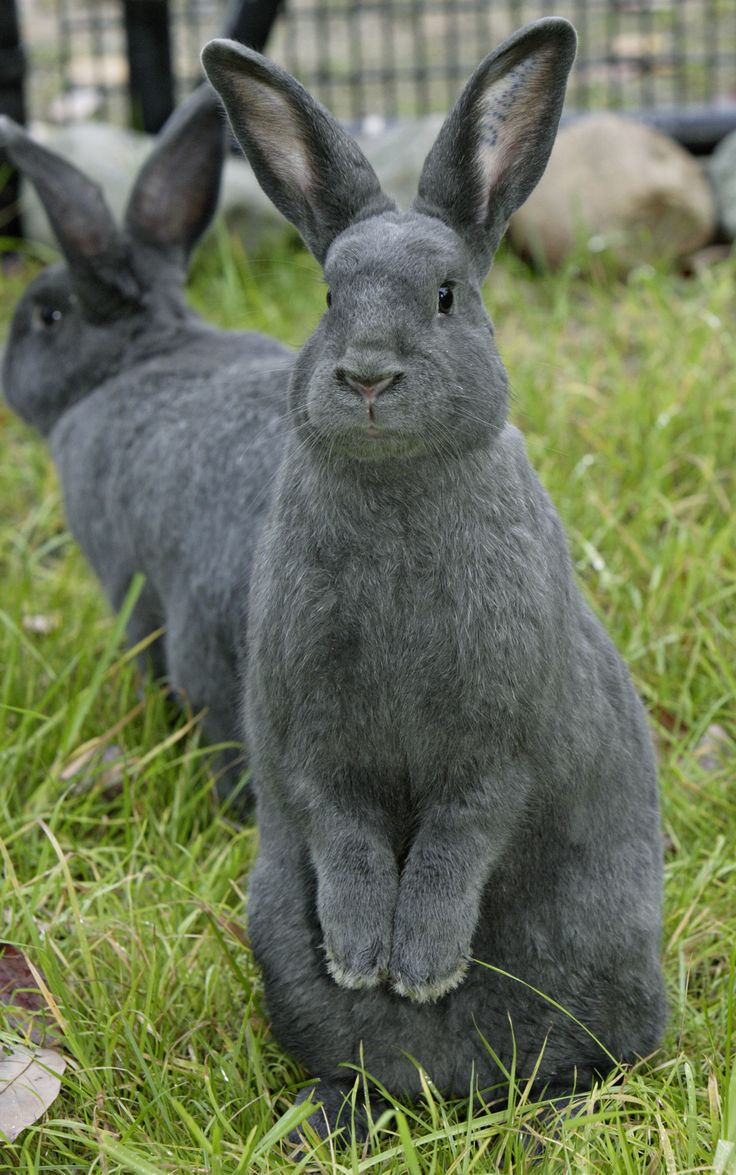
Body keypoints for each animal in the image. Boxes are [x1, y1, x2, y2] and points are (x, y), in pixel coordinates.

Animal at [202, 16, 663, 1137]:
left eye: (447, 296)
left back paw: (544, 1114)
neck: (397, 489)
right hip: (275, 937)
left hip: (604, 951)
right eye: (329, 295)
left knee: (588, 1055)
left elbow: (461, 835)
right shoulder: (313, 734)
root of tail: (449, 1087)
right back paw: (329, 1114)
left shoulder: (498, 743)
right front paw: (365, 955)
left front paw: (419, 965)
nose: (366, 374)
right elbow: (347, 826)